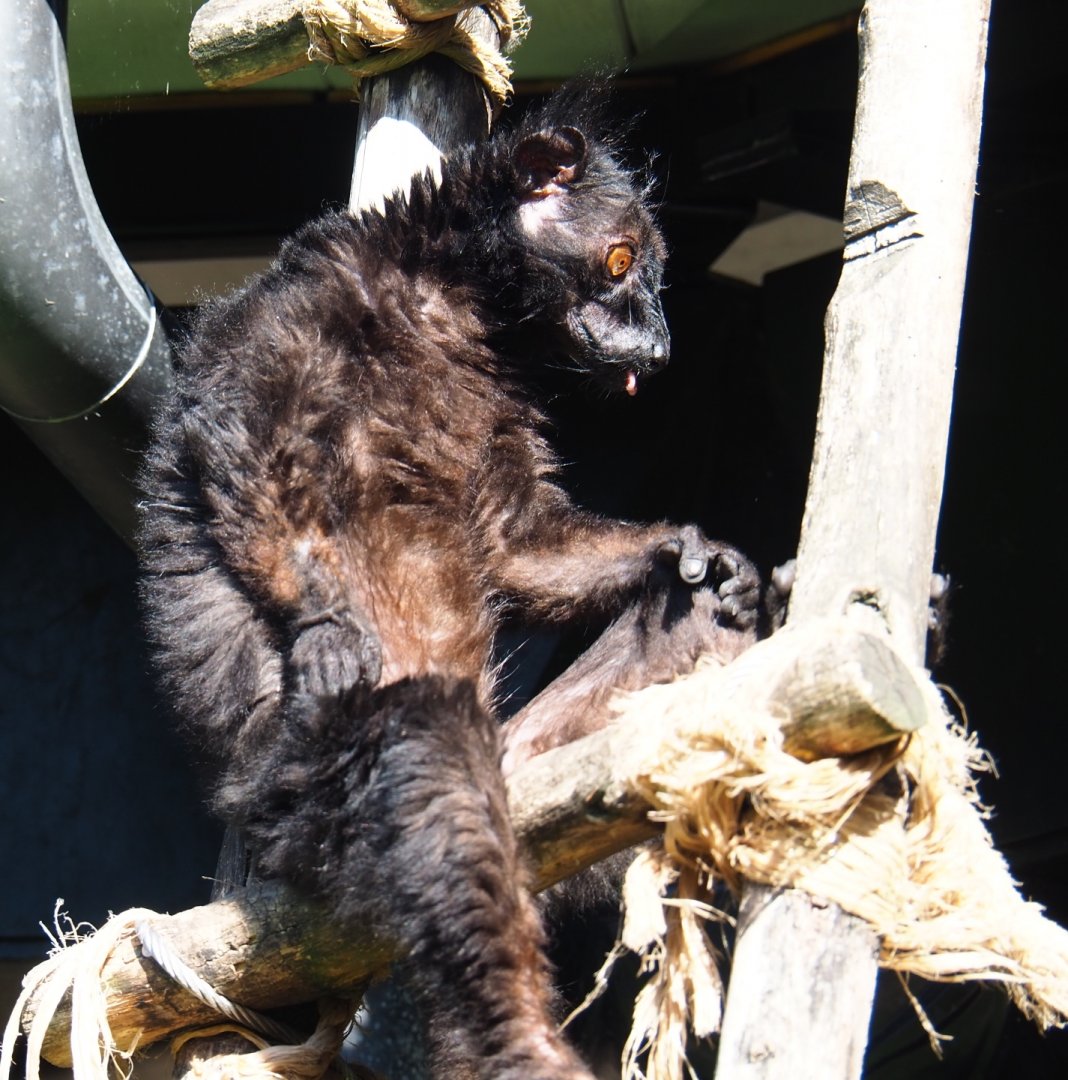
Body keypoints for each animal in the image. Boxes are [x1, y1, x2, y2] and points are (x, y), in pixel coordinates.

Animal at [138, 85, 760, 1080]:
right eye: (621, 261)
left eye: (653, 277)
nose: (660, 347)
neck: (445, 305)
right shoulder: (284, 317)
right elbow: (249, 440)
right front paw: (323, 622)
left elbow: (516, 544)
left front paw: (682, 548)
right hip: (307, 786)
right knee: (430, 751)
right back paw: (522, 1044)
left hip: (535, 764)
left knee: (699, 627)